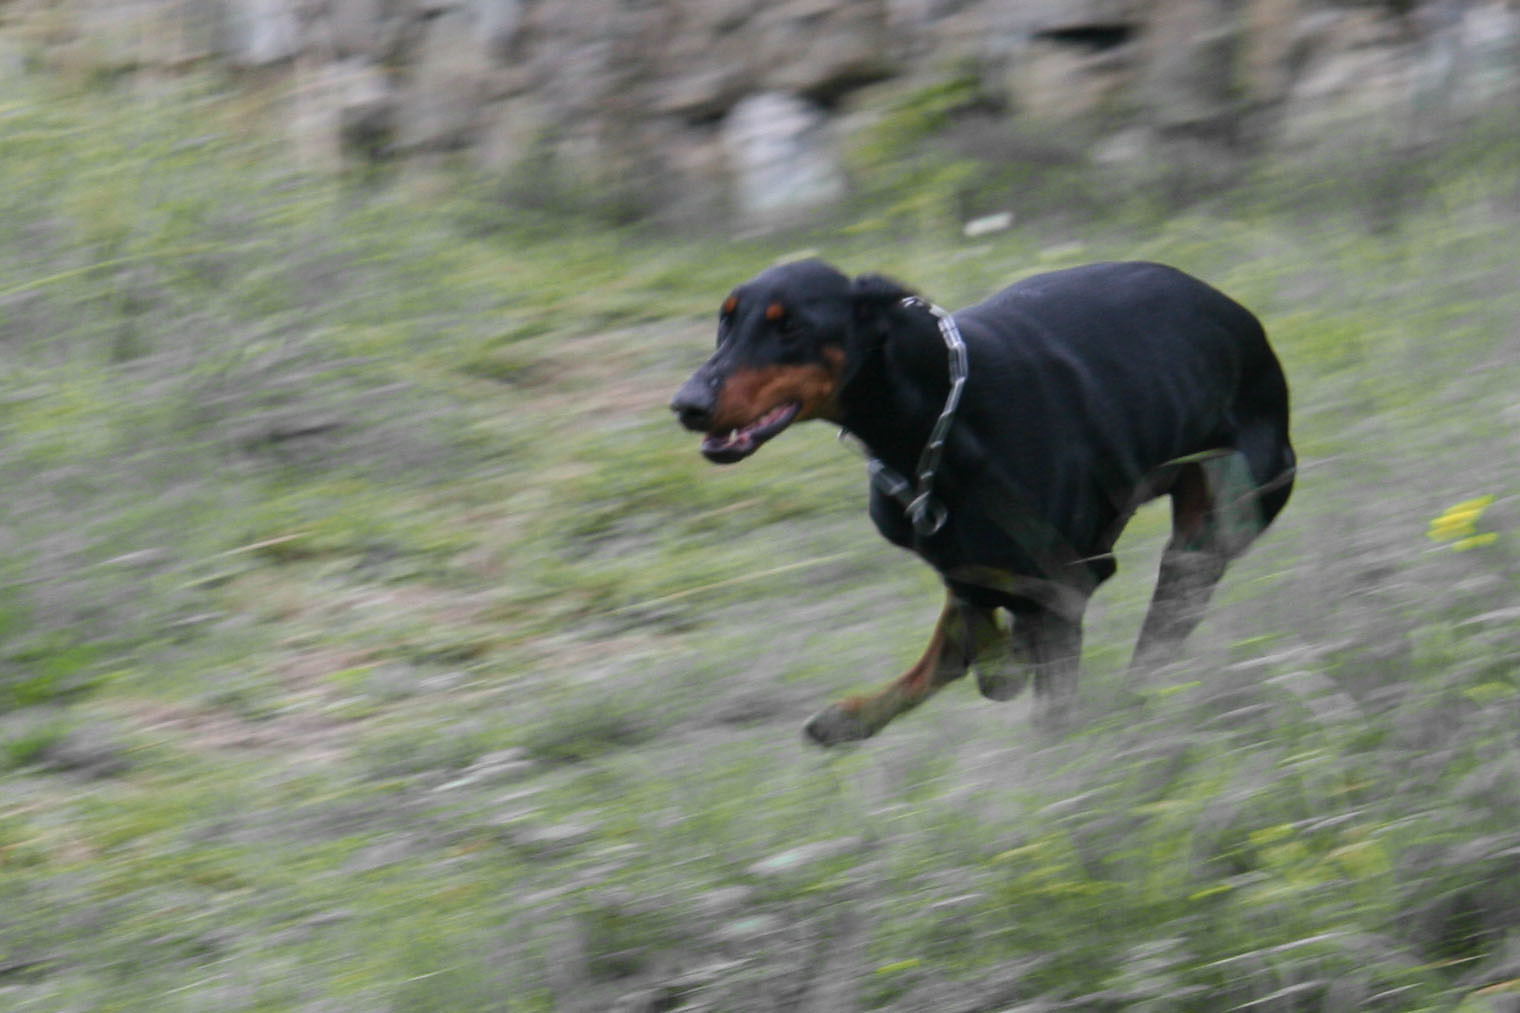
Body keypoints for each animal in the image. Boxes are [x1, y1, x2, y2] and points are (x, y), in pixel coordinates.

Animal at [671, 257, 1288, 745]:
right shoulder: (965, 558)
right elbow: (971, 638)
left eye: (791, 325)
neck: (934, 419)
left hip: (1206, 536)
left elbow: (1046, 701)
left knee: (1157, 634)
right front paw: (1000, 662)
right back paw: (855, 716)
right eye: (726, 320)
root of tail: (1248, 324)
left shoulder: (1057, 583)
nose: (687, 404)